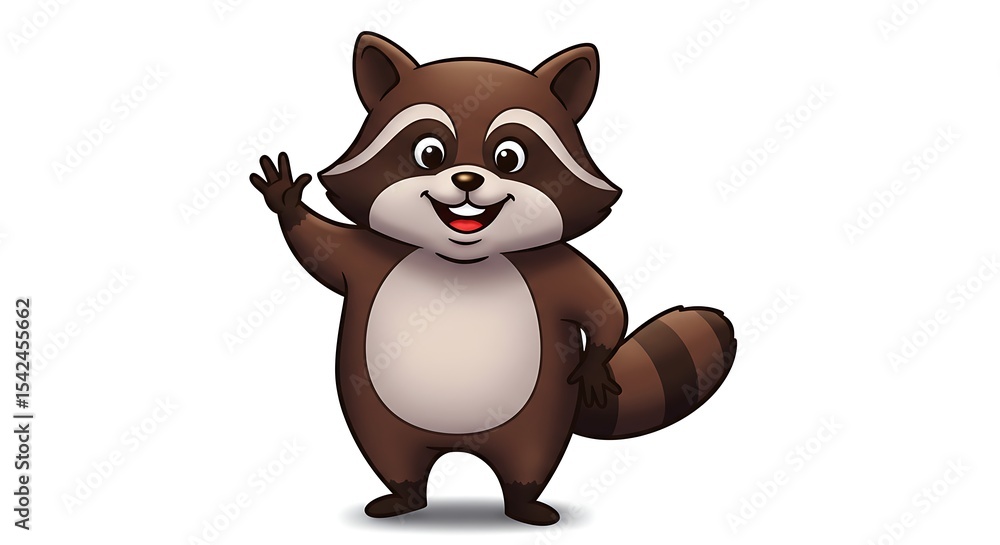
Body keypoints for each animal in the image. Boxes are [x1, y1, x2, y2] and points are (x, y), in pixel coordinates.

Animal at [249, 32, 736, 525]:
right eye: (429, 152)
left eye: (508, 156)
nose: (467, 178)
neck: (461, 261)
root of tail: (461, 445)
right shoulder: (369, 257)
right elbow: (321, 248)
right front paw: (285, 198)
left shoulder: (555, 268)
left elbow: (604, 305)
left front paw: (595, 361)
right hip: (380, 413)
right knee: (394, 456)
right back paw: (403, 499)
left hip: (540, 414)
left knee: (529, 460)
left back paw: (526, 506)